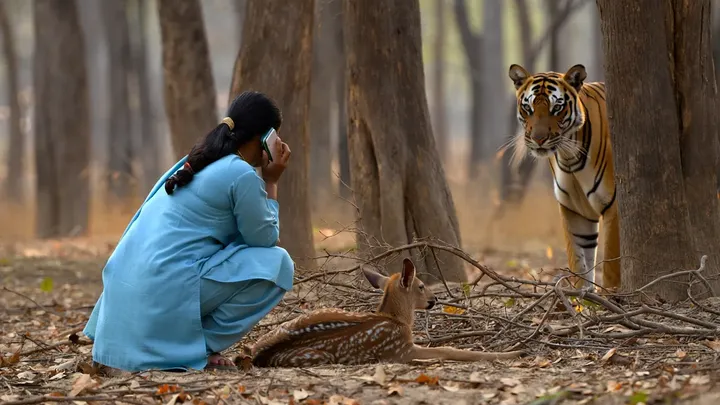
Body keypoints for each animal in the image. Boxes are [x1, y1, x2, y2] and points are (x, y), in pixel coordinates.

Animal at [505, 63, 619, 292]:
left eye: (556, 108)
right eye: (528, 108)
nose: (539, 139)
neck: (570, 157)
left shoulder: (614, 208)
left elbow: (612, 268)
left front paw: (615, 296)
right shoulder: (575, 210)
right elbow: (579, 263)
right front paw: (582, 297)